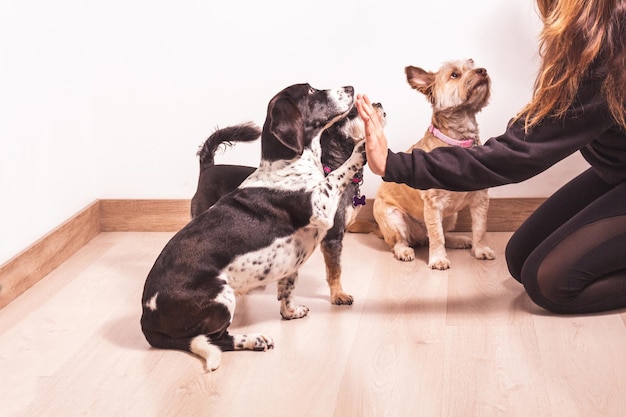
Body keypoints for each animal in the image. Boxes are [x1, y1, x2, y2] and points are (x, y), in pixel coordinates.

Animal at [141, 82, 366, 370]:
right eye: (311, 91)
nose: (350, 87)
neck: (289, 165)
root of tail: (146, 320)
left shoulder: (292, 259)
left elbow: (288, 289)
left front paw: (291, 312)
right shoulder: (322, 206)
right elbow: (338, 174)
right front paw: (361, 148)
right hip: (222, 297)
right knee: (216, 339)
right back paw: (254, 340)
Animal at [190, 103, 386, 306]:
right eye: (355, 111)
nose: (379, 104)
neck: (332, 167)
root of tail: (206, 168)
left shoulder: (347, 225)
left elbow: (370, 225)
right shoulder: (333, 236)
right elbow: (335, 270)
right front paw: (338, 294)